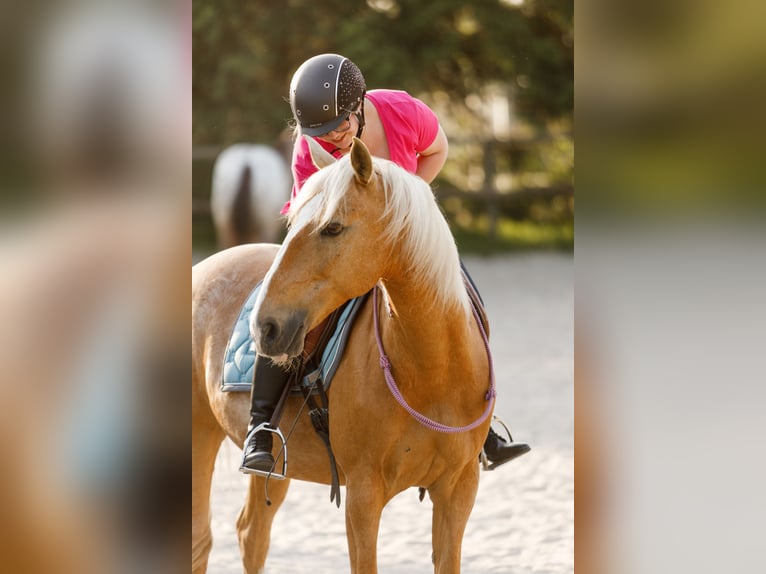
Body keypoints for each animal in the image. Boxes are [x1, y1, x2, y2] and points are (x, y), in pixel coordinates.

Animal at [192, 137, 498, 572]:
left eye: (332, 227)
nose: (262, 327)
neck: (432, 372)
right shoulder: (363, 496)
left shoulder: (458, 490)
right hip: (200, 433)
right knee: (201, 541)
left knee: (252, 534)